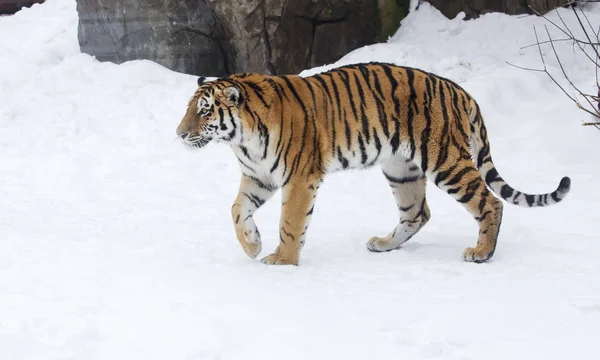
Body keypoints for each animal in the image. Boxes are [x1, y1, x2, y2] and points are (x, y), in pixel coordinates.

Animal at [175, 61, 572, 264]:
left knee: (490, 202)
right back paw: (383, 244)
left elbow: (290, 222)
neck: (241, 140)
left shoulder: (299, 177)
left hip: (445, 159)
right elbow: (236, 209)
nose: (179, 134)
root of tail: (460, 91)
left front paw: (282, 259)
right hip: (400, 168)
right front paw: (252, 245)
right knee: (418, 213)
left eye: (204, 111)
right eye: (189, 109)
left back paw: (482, 252)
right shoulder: (259, 177)